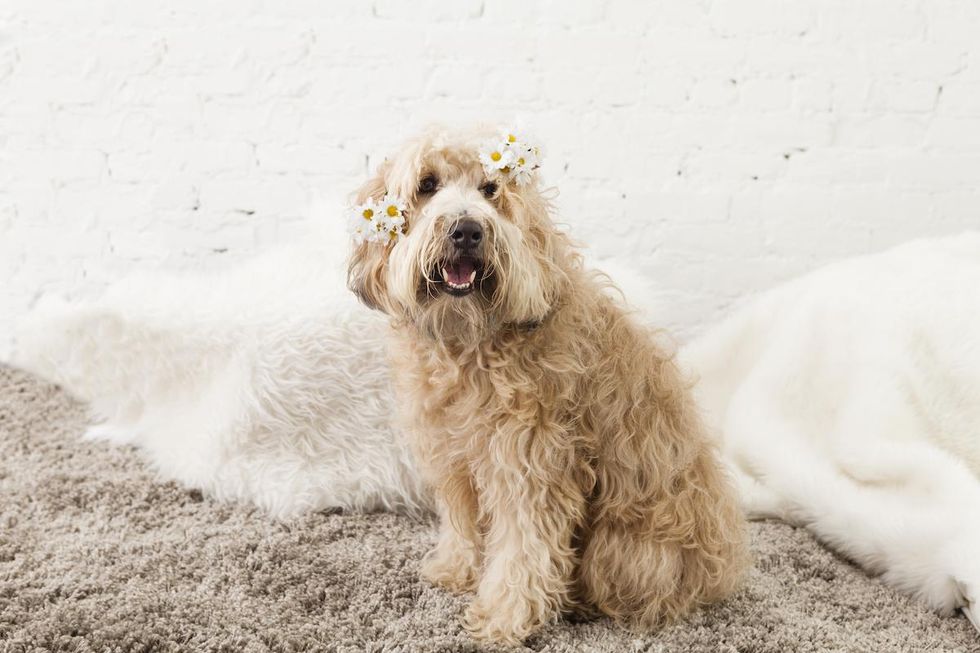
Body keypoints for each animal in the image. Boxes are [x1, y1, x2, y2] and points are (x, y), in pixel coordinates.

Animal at [346, 126, 752, 640]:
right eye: (427, 185)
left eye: (490, 190)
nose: (467, 230)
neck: (473, 342)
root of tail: (719, 568)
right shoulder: (454, 458)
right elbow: (462, 524)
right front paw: (456, 570)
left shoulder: (530, 465)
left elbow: (523, 549)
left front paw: (503, 616)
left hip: (621, 549)